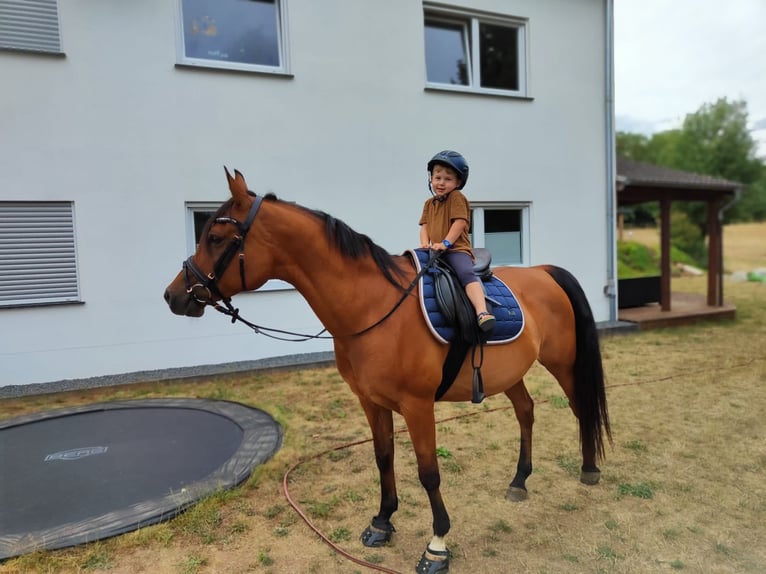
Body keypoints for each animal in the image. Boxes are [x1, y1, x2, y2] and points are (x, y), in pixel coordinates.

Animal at [164, 169, 612, 572]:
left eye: (215, 238)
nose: (173, 296)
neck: (373, 306)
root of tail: (542, 271)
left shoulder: (418, 406)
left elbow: (429, 473)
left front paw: (437, 545)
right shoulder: (371, 401)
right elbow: (383, 458)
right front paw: (382, 521)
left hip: (563, 364)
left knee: (579, 407)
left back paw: (590, 469)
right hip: (510, 373)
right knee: (526, 411)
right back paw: (519, 481)